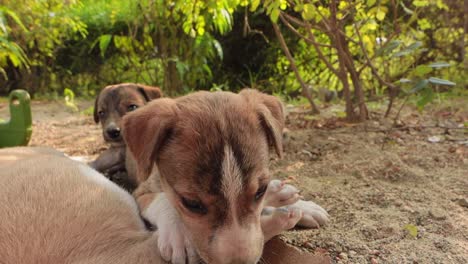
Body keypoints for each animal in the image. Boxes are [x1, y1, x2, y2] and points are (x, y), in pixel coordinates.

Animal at [124, 89, 330, 264]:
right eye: (191, 203)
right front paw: (179, 236)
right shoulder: (141, 192)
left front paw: (302, 205)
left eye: (260, 191)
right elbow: (163, 200)